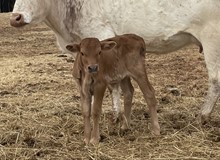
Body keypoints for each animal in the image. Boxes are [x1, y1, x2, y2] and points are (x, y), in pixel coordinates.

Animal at [11, 0, 220, 124]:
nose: (15, 18)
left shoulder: (101, 38)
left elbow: (112, 86)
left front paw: (116, 116)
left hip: (212, 38)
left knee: (215, 80)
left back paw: (203, 115)